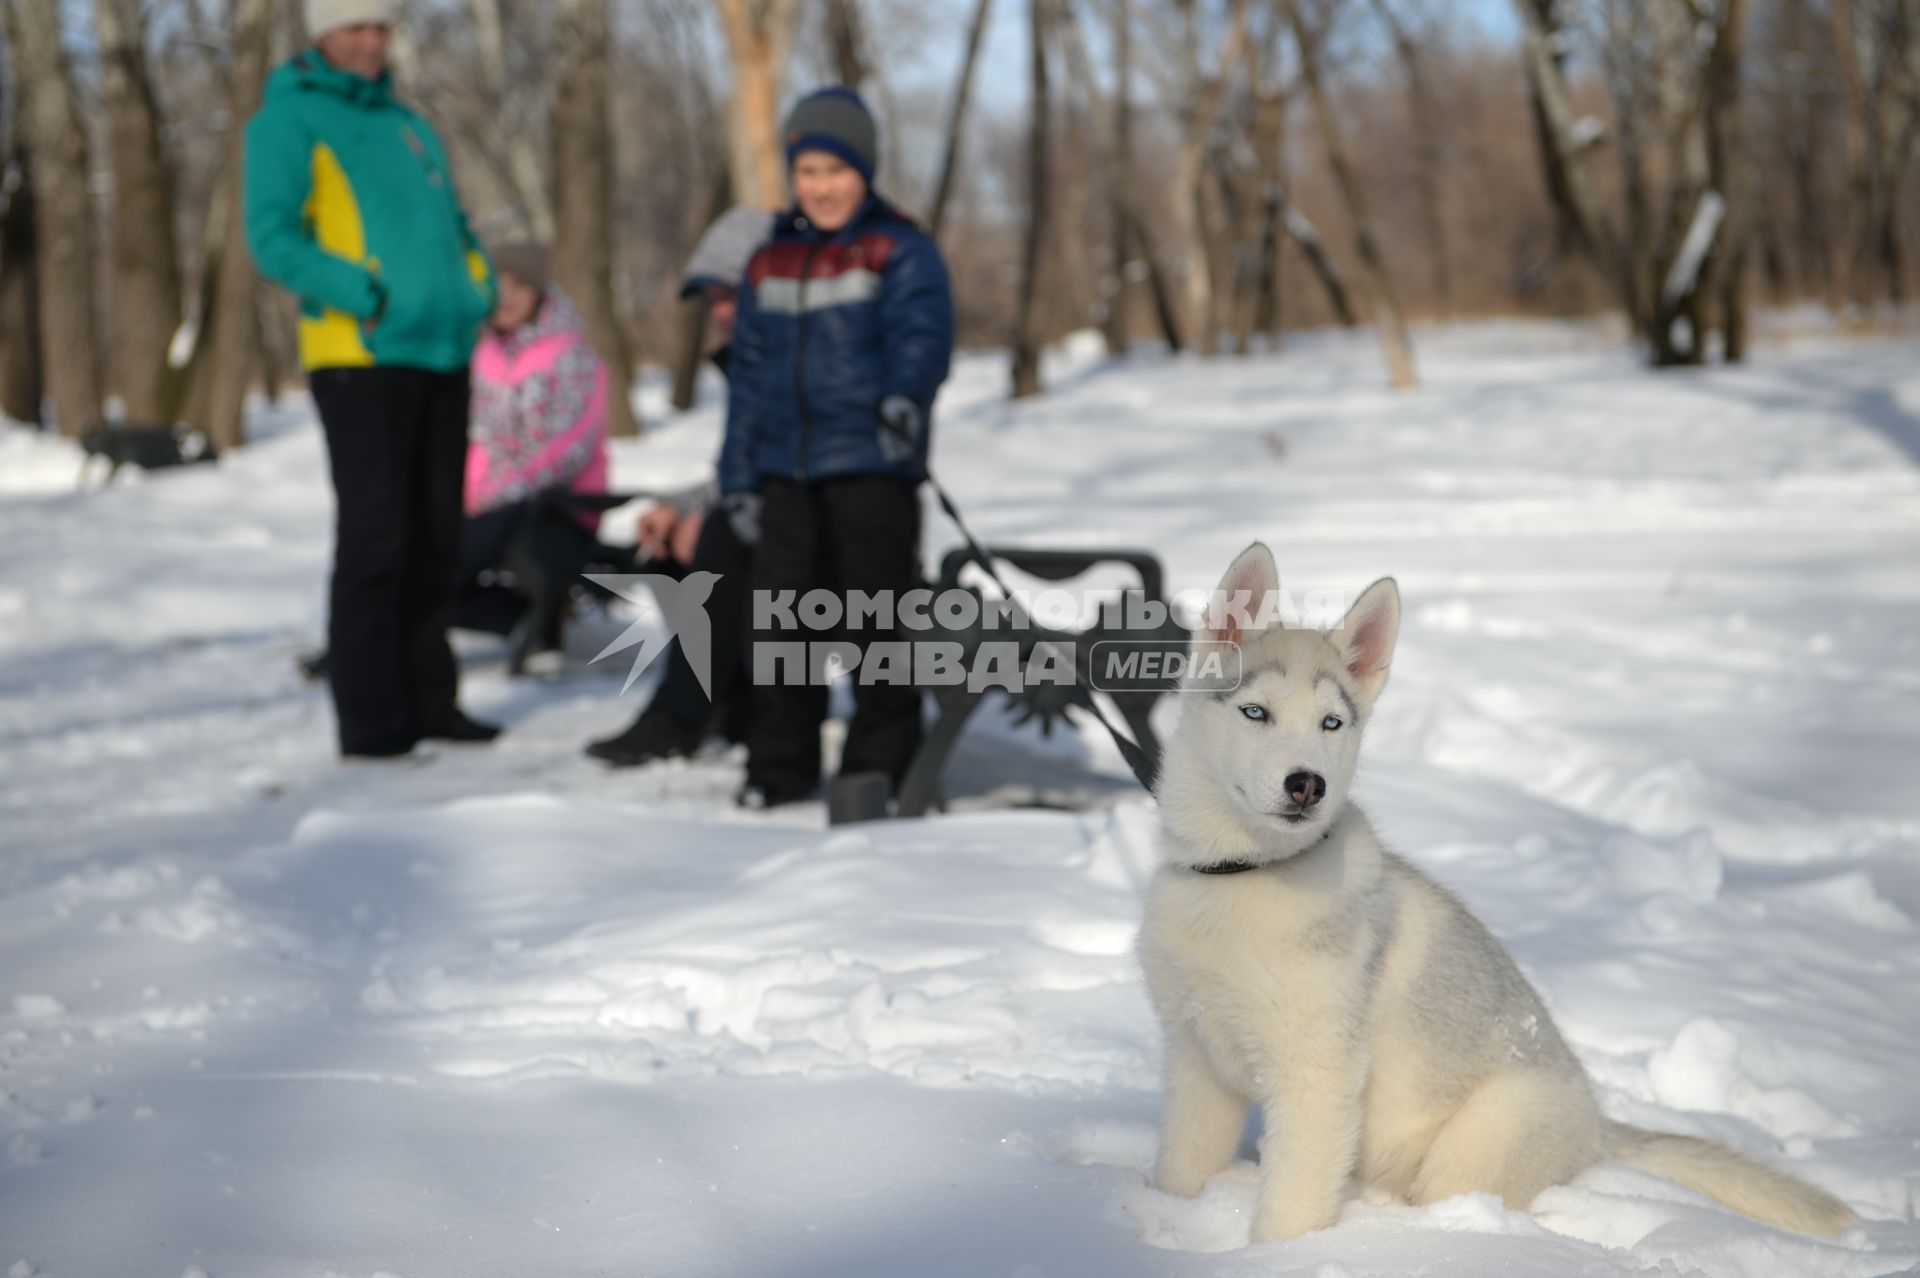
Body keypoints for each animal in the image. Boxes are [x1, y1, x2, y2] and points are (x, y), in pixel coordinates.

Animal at [1128, 541, 1850, 1235]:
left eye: (1332, 723)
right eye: (1255, 712)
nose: (1308, 784)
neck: (1243, 876)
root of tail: (1597, 1125)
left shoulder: (1318, 1076)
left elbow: (1291, 1210)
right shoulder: (1195, 1058)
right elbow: (1182, 1169)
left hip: (1474, 1148)